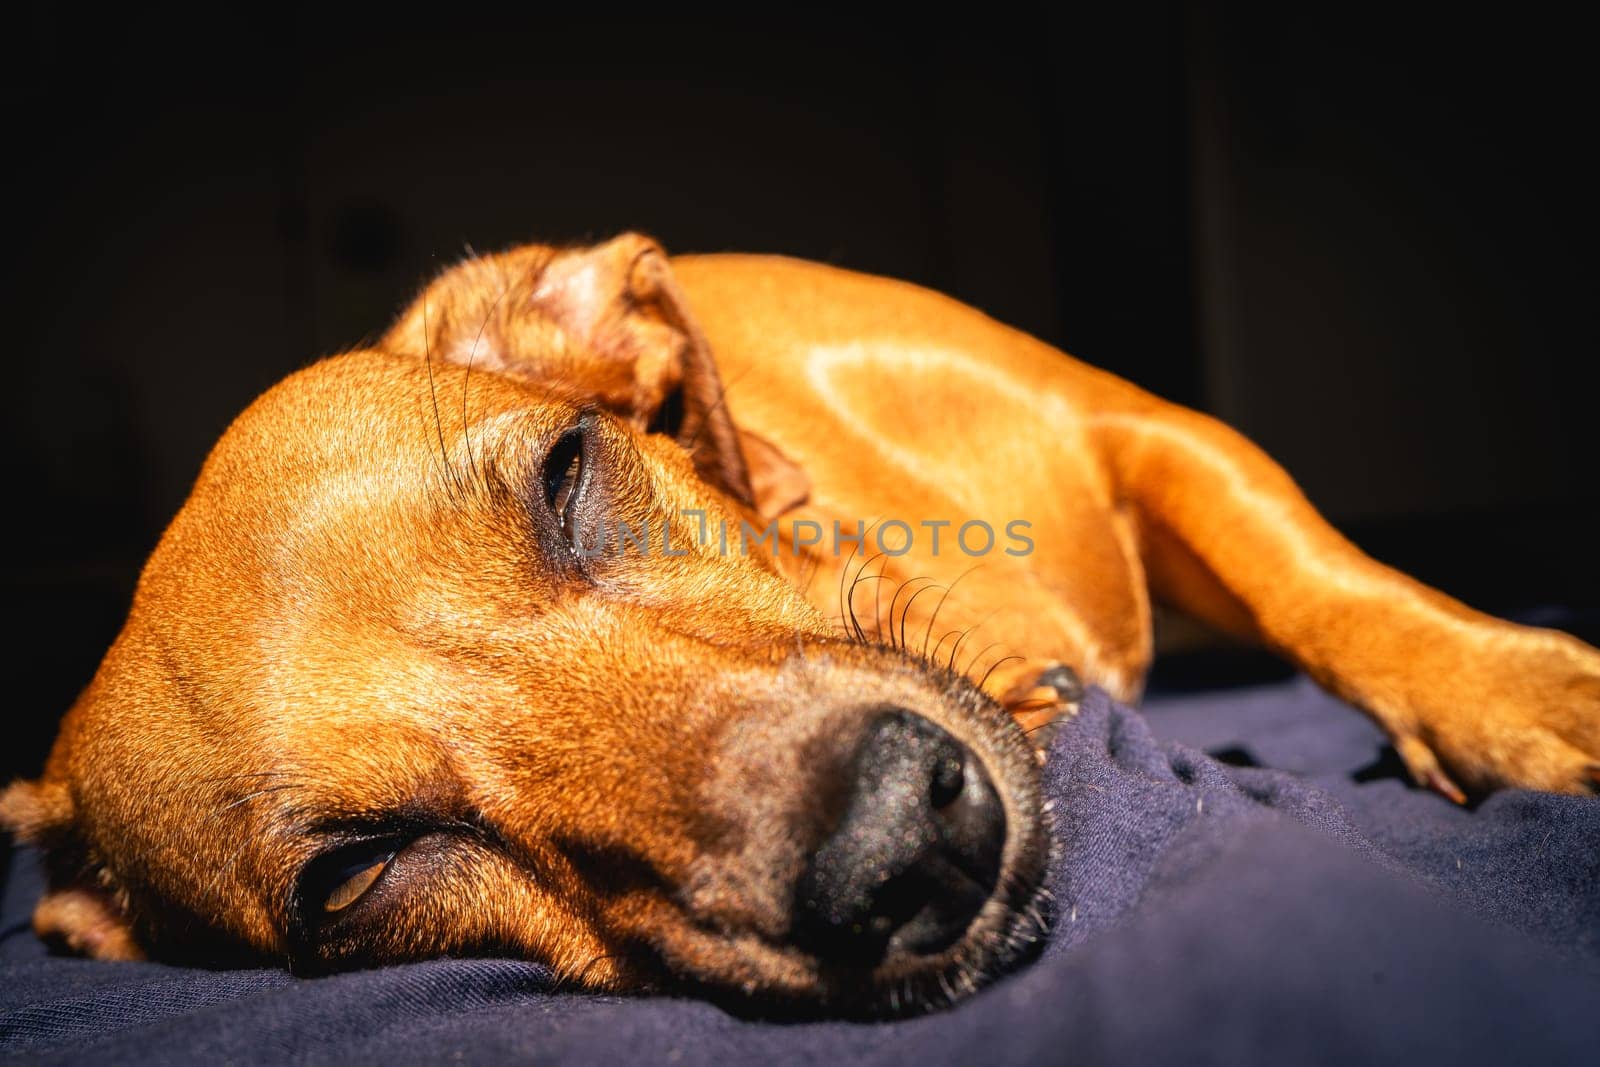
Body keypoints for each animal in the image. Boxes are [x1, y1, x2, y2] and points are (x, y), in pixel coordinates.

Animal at [3, 233, 1600, 1017]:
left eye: (566, 470)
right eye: (353, 874)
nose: (902, 845)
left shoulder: (1142, 429)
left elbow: (1316, 576)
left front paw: (1514, 686)